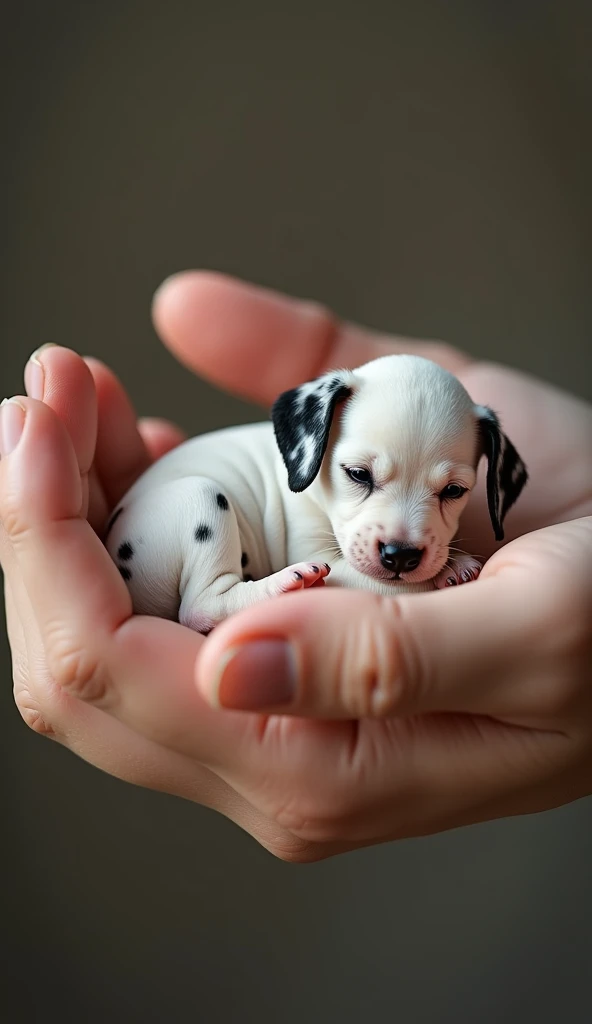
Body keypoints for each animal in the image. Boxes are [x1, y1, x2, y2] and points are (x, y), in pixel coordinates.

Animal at [102, 356, 524, 634]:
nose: (400, 556)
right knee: (201, 606)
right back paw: (281, 585)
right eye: (358, 474)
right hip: (200, 494)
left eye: (454, 491)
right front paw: (452, 566)